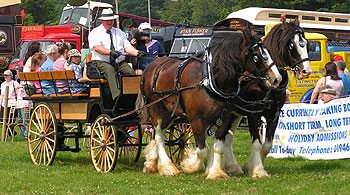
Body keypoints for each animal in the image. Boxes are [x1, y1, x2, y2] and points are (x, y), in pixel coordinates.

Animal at [137, 29, 282, 177]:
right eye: (256, 57)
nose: (277, 78)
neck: (209, 80)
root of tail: (152, 66)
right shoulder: (196, 119)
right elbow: (201, 150)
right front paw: (190, 164)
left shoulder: (225, 118)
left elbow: (217, 146)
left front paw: (215, 172)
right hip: (156, 109)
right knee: (158, 136)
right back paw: (167, 167)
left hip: (170, 113)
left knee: (156, 134)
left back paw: (152, 163)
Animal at [205, 17, 312, 178]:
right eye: (291, 45)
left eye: (305, 43)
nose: (306, 71)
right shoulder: (252, 113)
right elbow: (256, 143)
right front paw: (258, 170)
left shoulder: (274, 114)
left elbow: (267, 145)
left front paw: (251, 166)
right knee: (218, 135)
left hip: (234, 113)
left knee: (226, 138)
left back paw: (230, 166)